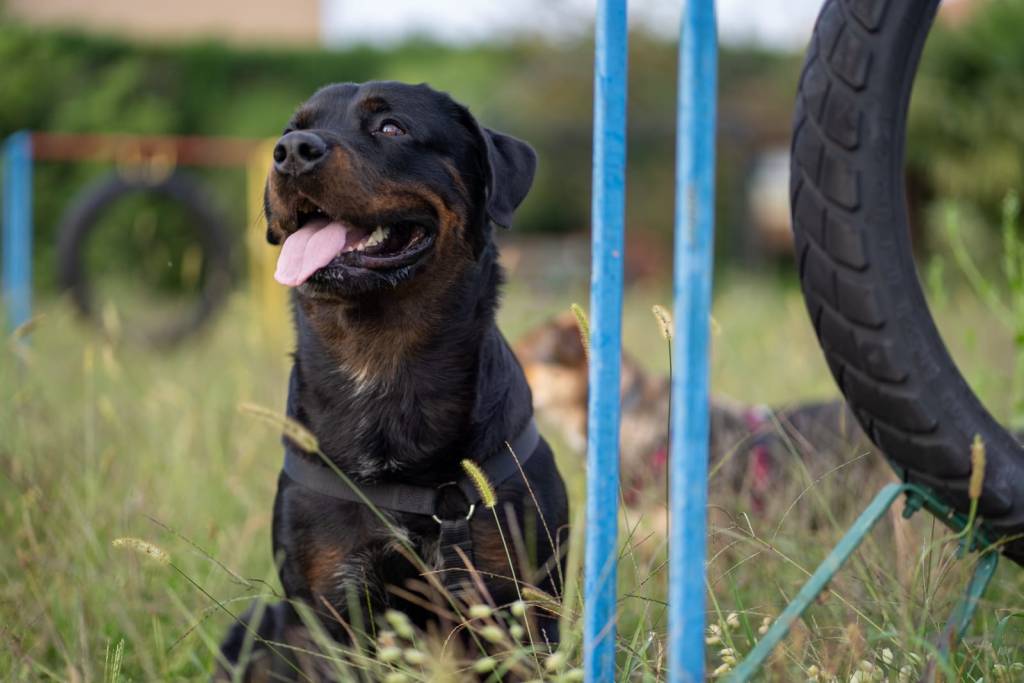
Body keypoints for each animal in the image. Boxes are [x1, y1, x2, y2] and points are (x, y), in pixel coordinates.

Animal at [218, 82, 569, 679]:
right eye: (292, 130)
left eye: (391, 128)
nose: (292, 152)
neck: (382, 366)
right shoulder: (329, 605)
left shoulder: (518, 600)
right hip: (255, 625)